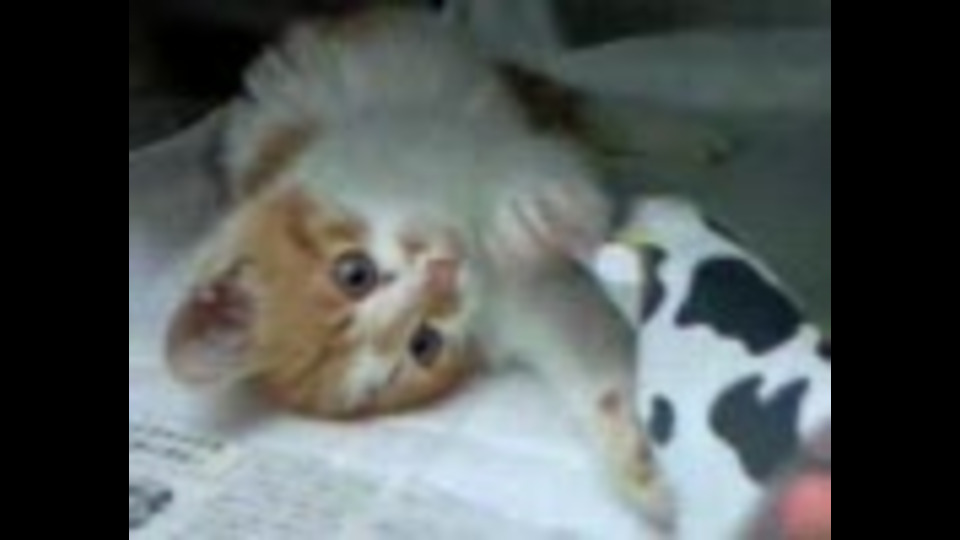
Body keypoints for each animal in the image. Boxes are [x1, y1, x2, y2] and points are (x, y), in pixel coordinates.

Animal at [164, 9, 674, 530]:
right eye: (423, 344)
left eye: (355, 274)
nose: (444, 273)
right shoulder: (516, 303)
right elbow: (580, 343)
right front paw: (636, 453)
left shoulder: (418, 142)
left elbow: (520, 163)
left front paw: (534, 206)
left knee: (576, 106)